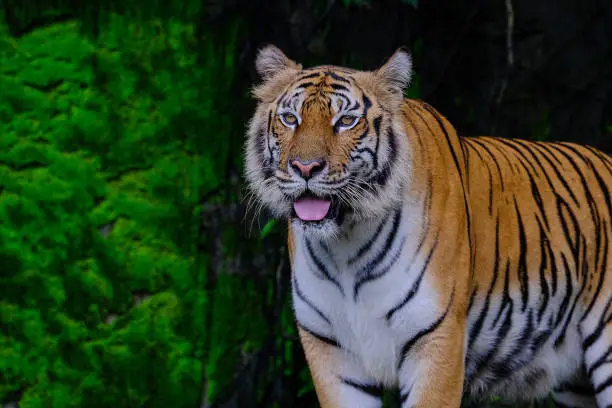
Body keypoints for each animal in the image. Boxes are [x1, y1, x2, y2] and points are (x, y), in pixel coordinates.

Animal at [243, 44, 612, 408]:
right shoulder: (330, 349)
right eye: (291, 119)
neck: (344, 245)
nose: (305, 167)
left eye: (346, 121)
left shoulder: (436, 340)